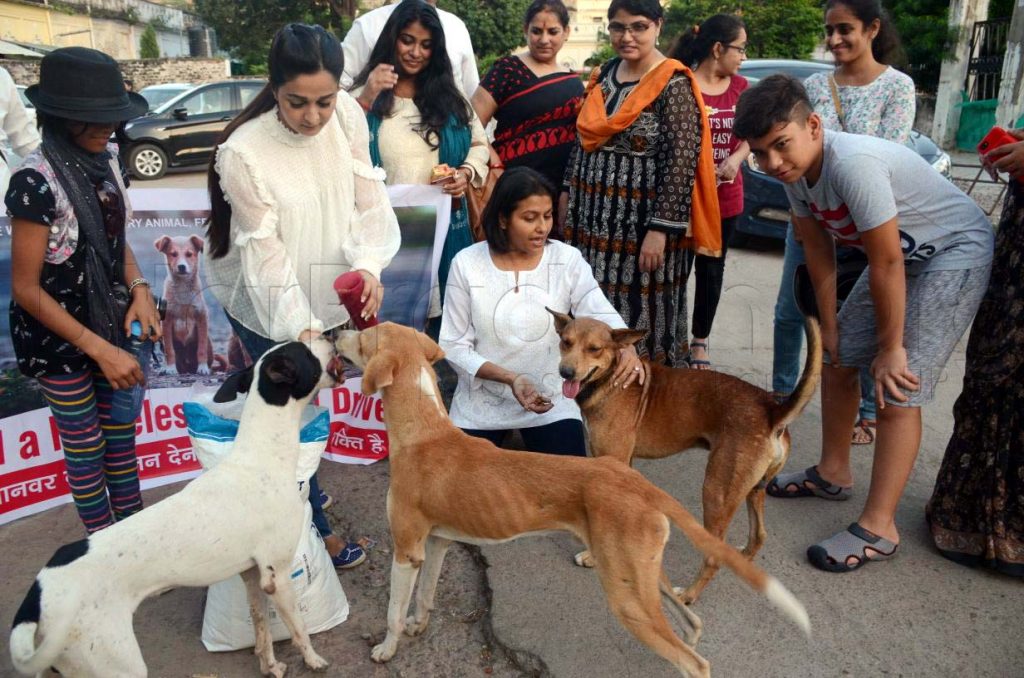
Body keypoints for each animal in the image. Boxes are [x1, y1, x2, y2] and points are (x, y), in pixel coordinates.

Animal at [9, 337, 342, 675]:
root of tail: (37, 597)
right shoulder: (278, 577)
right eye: (305, 350)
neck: (261, 455)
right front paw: (313, 659)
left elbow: (261, 629)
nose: (329, 336)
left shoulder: (252, 575)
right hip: (119, 664)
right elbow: (300, 630)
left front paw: (269, 665)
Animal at [335, 323, 806, 678]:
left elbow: (394, 610)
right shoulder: (436, 543)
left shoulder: (406, 550)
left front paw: (387, 648)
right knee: (691, 623)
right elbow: (425, 597)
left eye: (363, 336)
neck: (424, 430)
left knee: (695, 662)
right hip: (643, 576)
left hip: (629, 596)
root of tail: (638, 482)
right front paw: (419, 626)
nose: (334, 331)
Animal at [552, 309, 823, 606]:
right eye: (566, 342)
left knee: (714, 557)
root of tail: (773, 411)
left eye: (594, 349)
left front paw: (593, 556)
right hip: (753, 489)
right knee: (758, 536)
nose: (565, 372)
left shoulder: (614, 461)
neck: (610, 379)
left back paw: (688, 595)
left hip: (716, 492)